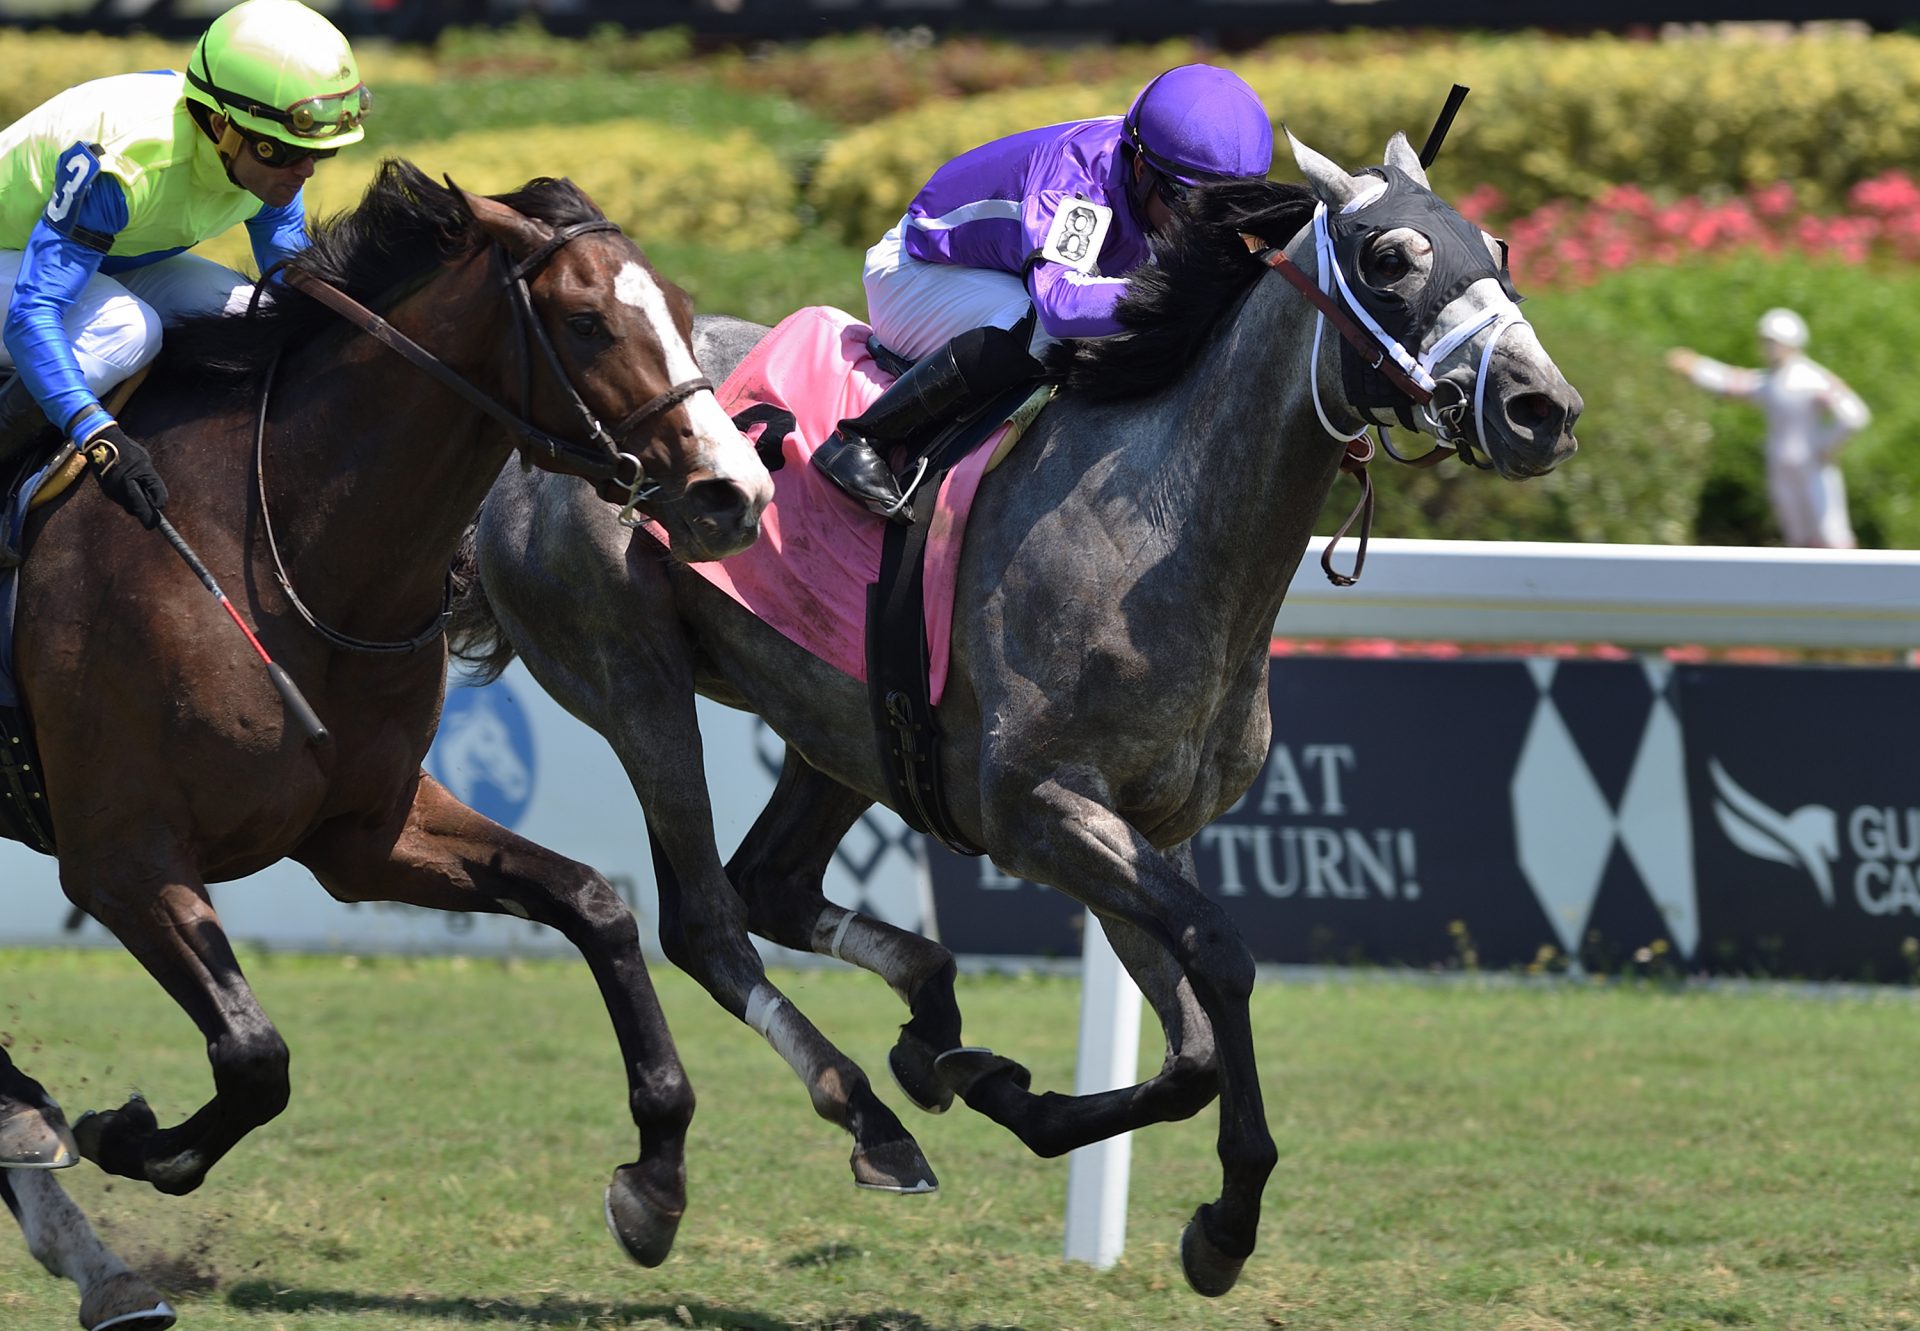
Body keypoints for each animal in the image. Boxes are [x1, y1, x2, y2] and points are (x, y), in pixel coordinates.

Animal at [9, 158, 771, 1321]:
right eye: (587, 320)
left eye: (686, 317)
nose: (736, 493)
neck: (278, 545)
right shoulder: (119, 855)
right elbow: (255, 1052)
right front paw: (129, 1134)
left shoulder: (365, 830)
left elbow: (594, 904)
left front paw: (656, 1180)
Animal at [453, 132, 1589, 1290]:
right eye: (1390, 258)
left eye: (1497, 246)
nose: (1542, 408)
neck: (1162, 530)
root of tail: (523, 452)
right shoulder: (1036, 808)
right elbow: (1219, 954)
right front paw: (1226, 1223)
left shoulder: (1145, 824)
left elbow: (1189, 1051)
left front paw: (994, 1083)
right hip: (633, 677)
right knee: (702, 919)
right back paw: (784, 1144)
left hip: (844, 725)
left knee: (769, 881)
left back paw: (924, 1025)